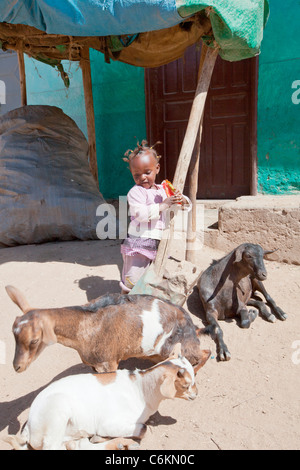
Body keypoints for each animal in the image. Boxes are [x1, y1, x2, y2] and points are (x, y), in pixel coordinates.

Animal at [6, 346, 209, 452]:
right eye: (185, 384)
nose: (196, 394)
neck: (141, 388)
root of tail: (29, 426)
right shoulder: (110, 423)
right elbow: (143, 428)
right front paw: (104, 436)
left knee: (77, 444)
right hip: (57, 413)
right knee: (54, 448)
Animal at [7, 284, 209, 372]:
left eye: (34, 340)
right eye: (13, 336)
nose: (17, 366)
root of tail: (190, 322)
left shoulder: (110, 362)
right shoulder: (94, 365)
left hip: (176, 346)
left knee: (204, 353)